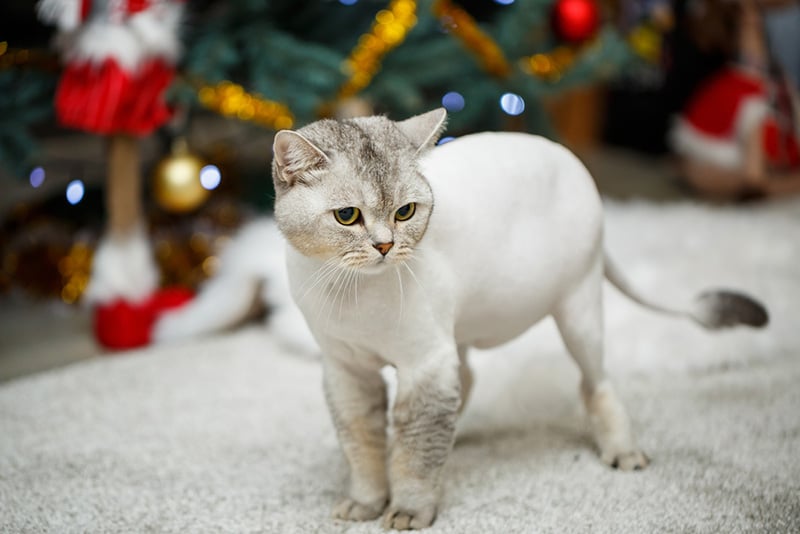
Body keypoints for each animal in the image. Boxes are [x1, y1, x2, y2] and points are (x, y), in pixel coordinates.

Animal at [270, 109, 768, 532]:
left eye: (404, 212)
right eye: (347, 216)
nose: (385, 246)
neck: (351, 295)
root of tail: (569, 158)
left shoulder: (425, 363)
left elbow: (416, 453)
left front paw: (409, 509)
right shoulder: (347, 371)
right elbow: (363, 446)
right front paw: (367, 501)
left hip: (578, 312)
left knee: (596, 384)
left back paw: (621, 449)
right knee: (466, 380)